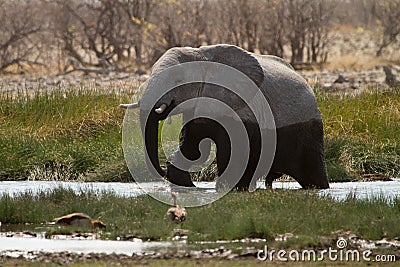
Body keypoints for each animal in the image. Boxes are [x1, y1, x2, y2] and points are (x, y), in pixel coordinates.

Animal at [120, 44, 330, 191]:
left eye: (178, 81)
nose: (163, 169)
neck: (201, 56)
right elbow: (193, 141)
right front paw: (184, 184)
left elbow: (231, 145)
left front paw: (226, 188)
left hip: (308, 128)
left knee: (313, 171)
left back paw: (319, 188)